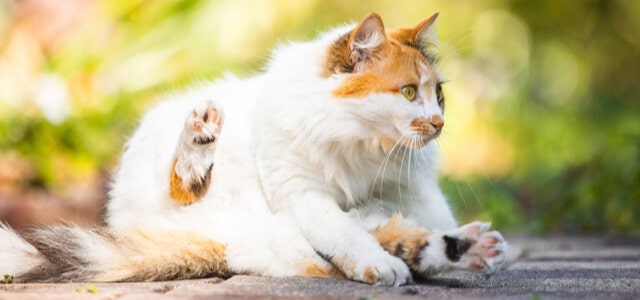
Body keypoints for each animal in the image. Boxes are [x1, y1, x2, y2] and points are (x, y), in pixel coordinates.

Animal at [0, 11, 504, 284]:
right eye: (408, 93)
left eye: (438, 95)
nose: (439, 122)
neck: (363, 147)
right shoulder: (302, 195)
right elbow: (347, 236)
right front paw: (377, 264)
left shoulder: (407, 200)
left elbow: (384, 225)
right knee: (184, 186)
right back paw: (199, 139)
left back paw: (467, 248)